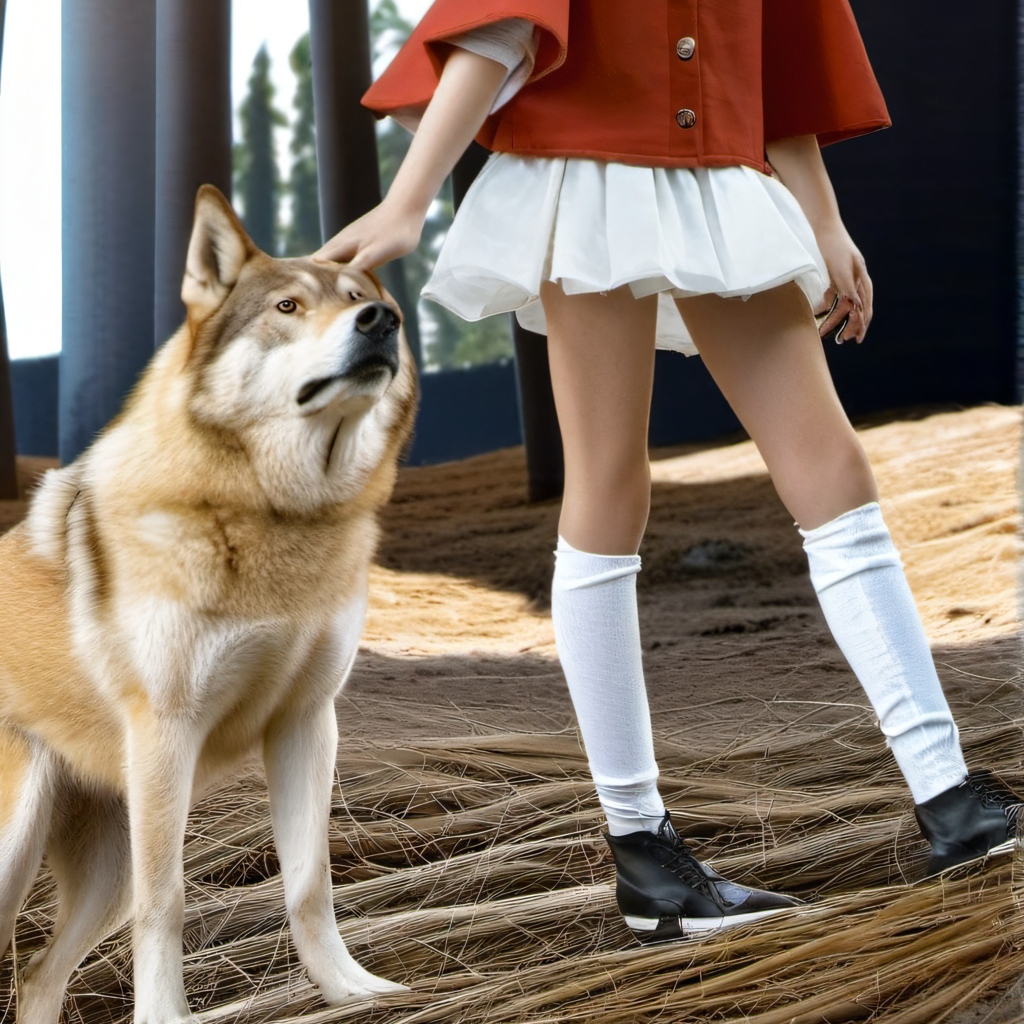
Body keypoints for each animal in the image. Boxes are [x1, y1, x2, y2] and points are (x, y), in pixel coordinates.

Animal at [0, 185, 417, 1022]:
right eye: (288, 306)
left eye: (371, 304)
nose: (381, 322)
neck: (276, 518)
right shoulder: (168, 733)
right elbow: (170, 903)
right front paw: (167, 1017)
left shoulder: (307, 724)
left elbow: (310, 886)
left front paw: (352, 991)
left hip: (104, 874)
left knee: (37, 977)